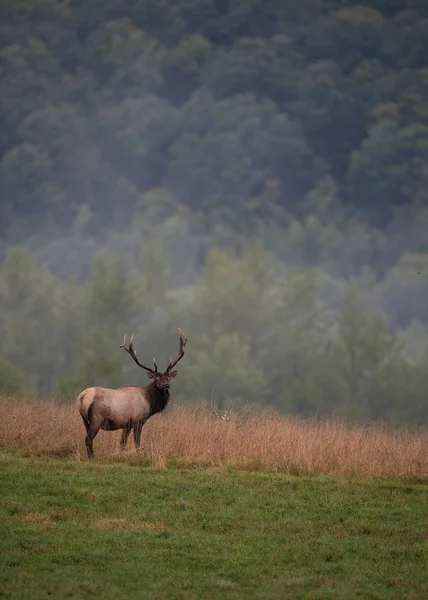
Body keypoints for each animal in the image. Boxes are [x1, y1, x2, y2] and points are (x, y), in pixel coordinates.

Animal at [77, 328, 187, 460]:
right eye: (156, 378)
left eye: (168, 378)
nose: (167, 385)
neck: (150, 403)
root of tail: (82, 397)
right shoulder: (138, 420)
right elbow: (137, 442)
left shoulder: (127, 425)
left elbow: (122, 443)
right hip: (96, 419)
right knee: (88, 438)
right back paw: (92, 458)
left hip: (84, 419)